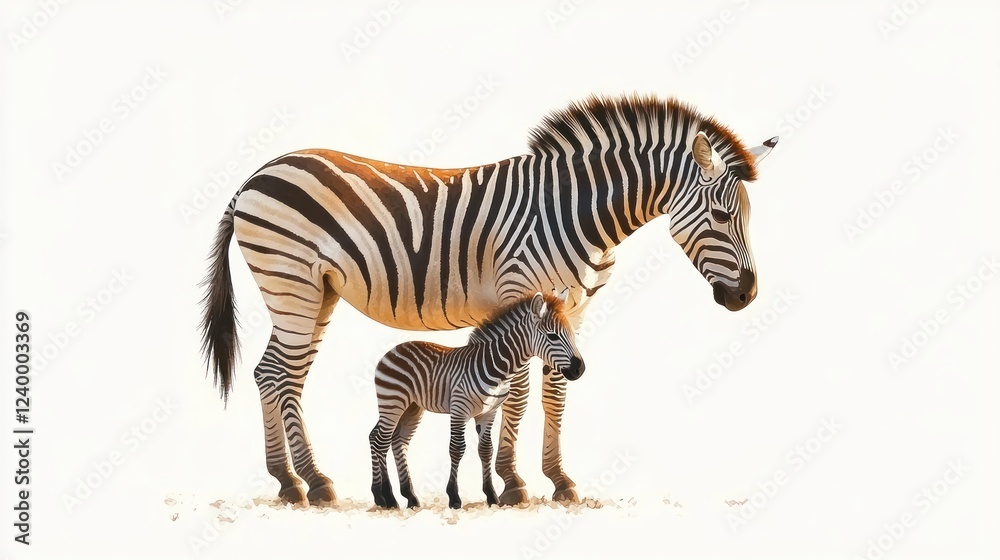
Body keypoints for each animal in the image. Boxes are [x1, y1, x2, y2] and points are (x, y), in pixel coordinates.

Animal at [369, 292, 583, 509]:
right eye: (552, 336)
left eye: (572, 335)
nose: (579, 369)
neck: (495, 367)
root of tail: (393, 350)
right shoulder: (459, 409)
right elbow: (457, 449)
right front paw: (454, 497)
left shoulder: (488, 412)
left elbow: (486, 449)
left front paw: (492, 496)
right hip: (392, 402)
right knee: (380, 441)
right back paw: (384, 497)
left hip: (411, 407)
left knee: (395, 440)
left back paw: (409, 496)